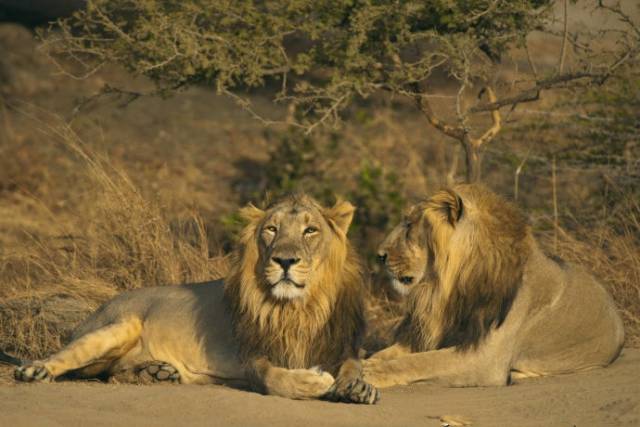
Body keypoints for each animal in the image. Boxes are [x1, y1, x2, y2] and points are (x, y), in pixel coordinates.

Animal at [7, 194, 378, 404]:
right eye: (271, 230)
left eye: (310, 230)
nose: (284, 260)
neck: (300, 306)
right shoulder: (252, 356)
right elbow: (276, 379)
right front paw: (313, 381)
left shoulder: (342, 346)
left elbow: (353, 367)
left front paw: (358, 388)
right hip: (116, 326)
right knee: (66, 358)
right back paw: (34, 371)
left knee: (110, 373)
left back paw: (155, 373)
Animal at [364, 184, 624, 388]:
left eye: (409, 225)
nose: (379, 255)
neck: (447, 288)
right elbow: (389, 353)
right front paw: (365, 362)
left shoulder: (483, 357)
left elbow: (422, 361)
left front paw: (370, 372)